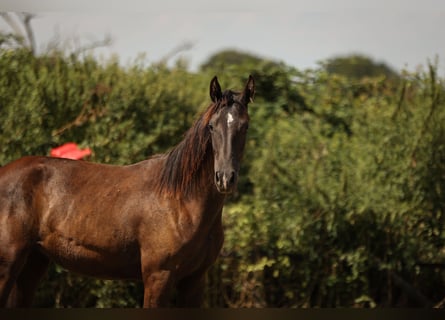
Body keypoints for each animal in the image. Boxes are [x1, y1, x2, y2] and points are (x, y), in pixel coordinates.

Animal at [0, 75, 255, 308]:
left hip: (33, 263)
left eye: (245, 126)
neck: (182, 202)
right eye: (212, 126)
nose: (225, 178)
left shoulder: (194, 281)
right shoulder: (158, 277)